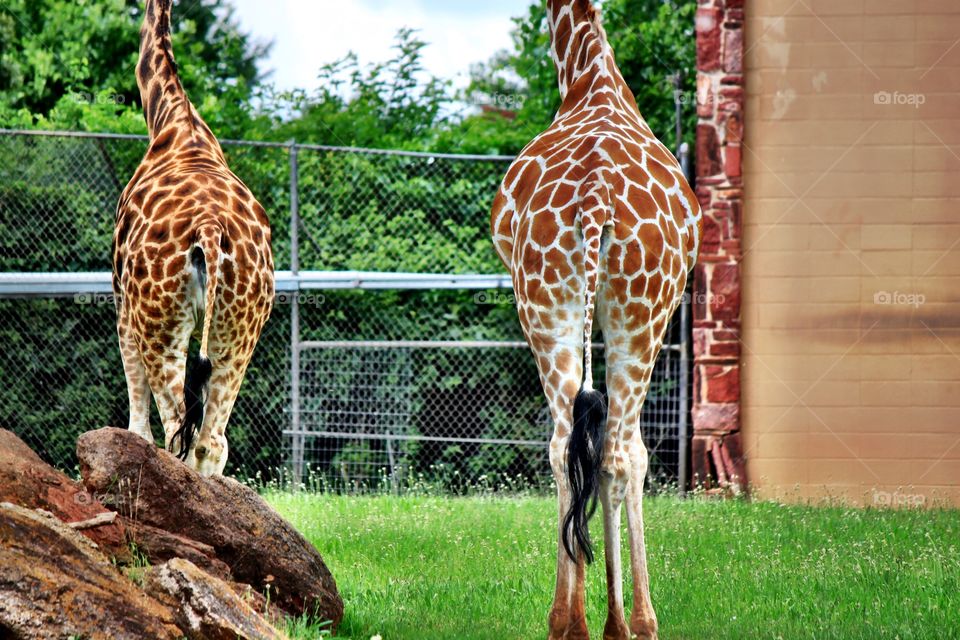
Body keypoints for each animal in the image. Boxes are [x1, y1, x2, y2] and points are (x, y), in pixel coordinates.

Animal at [115, 0, 278, 476]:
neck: (172, 121)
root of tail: (208, 228)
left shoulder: (121, 304)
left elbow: (138, 424)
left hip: (160, 324)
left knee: (176, 431)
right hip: (238, 332)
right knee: (212, 441)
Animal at [492, 2, 700, 636]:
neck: (590, 74)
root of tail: (596, 197)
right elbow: (631, 454)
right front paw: (637, 620)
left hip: (544, 305)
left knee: (566, 446)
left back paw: (569, 622)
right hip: (642, 314)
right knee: (618, 452)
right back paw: (627, 623)